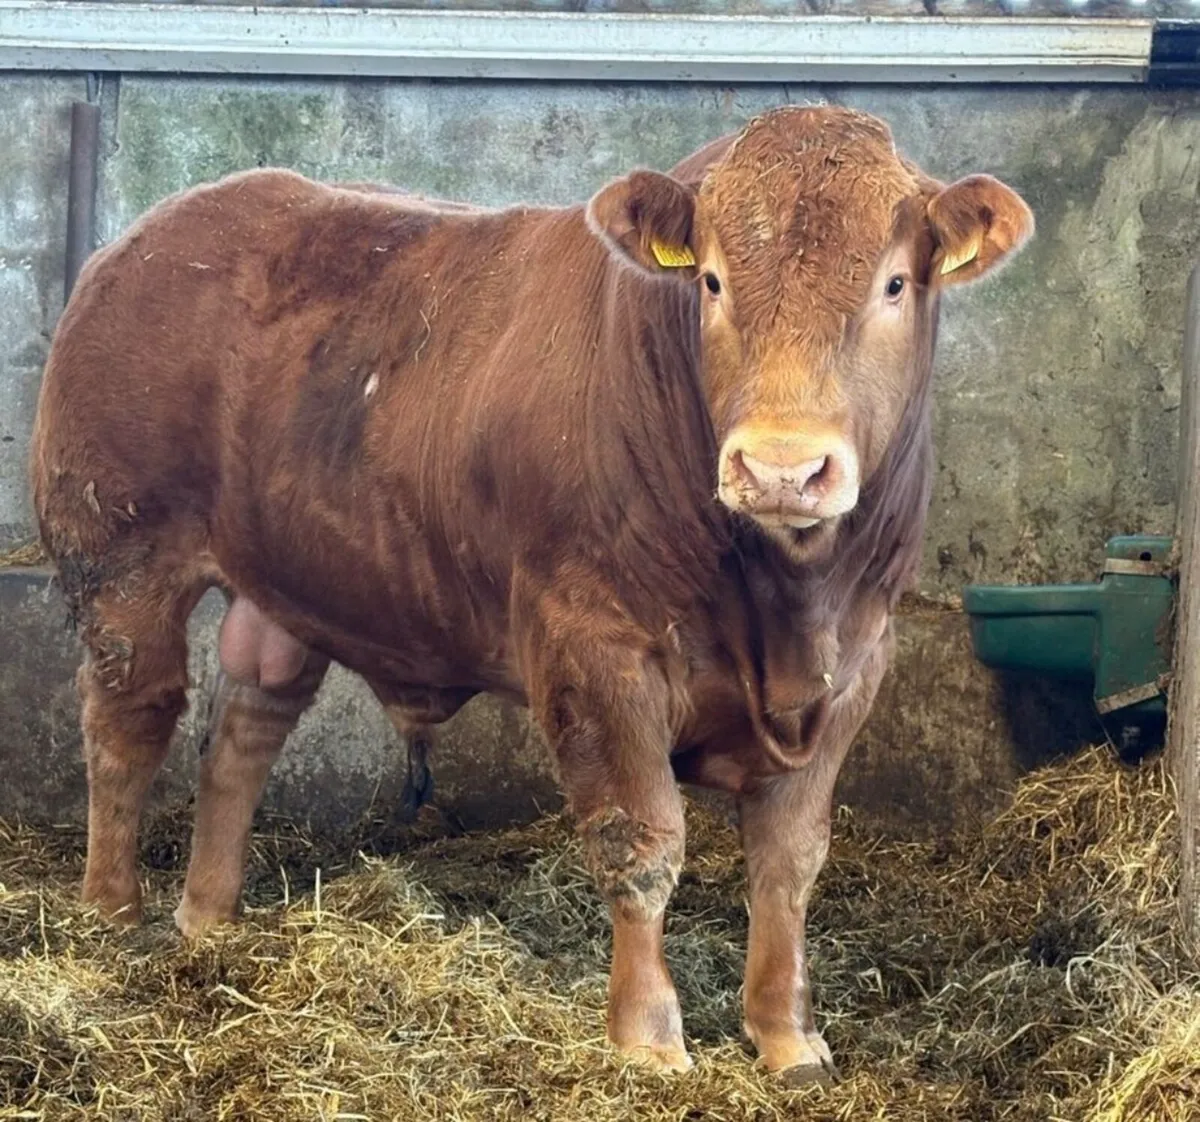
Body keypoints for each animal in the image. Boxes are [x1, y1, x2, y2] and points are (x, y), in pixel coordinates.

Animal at [29, 105, 1032, 1082]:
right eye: (710, 281)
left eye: (895, 284)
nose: (782, 468)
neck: (784, 602)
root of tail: (146, 236)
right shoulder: (595, 649)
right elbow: (640, 842)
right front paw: (648, 1036)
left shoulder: (857, 662)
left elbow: (788, 860)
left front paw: (788, 1038)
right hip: (122, 559)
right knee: (128, 723)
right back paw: (112, 912)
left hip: (286, 584)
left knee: (242, 734)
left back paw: (209, 919)